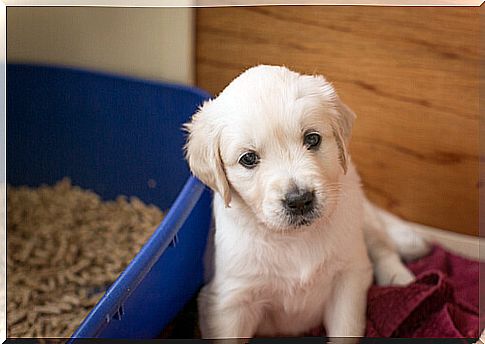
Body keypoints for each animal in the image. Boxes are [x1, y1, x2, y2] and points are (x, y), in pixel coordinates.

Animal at [182, 64, 428, 338]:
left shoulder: (348, 278)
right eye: (248, 159)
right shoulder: (230, 302)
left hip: (362, 220)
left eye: (312, 139)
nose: (299, 200)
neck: (294, 238)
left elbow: (346, 329)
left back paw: (401, 279)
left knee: (383, 246)